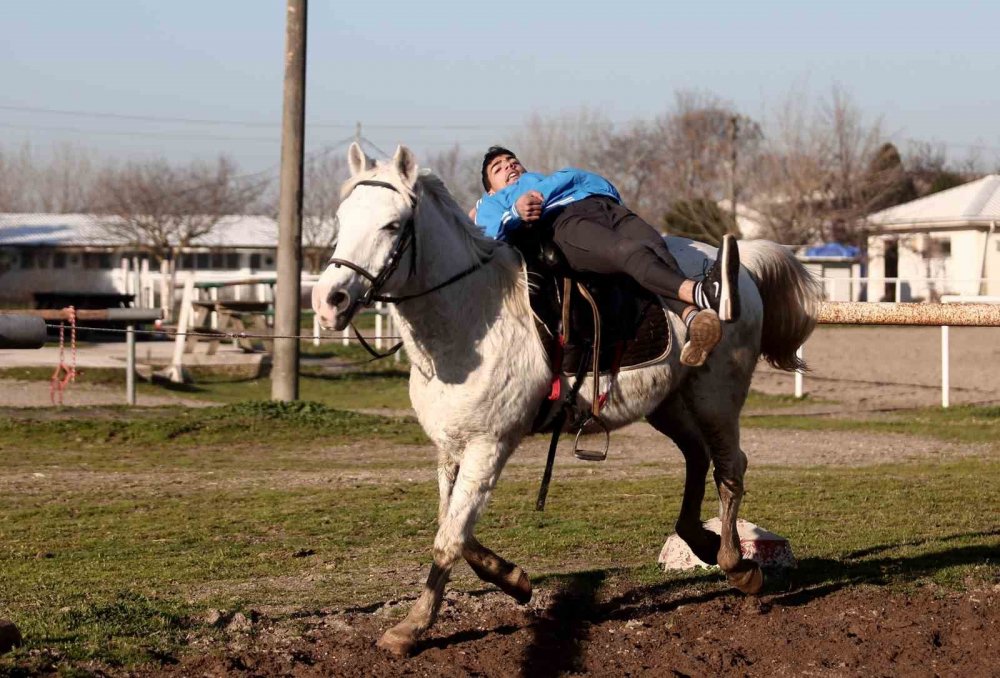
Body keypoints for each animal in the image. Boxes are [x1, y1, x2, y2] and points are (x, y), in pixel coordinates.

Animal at [312, 145, 820, 660]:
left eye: (392, 225)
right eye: (342, 218)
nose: (328, 301)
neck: (471, 316)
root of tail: (739, 268)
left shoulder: (488, 446)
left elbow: (449, 538)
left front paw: (412, 627)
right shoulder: (451, 449)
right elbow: (454, 528)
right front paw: (514, 580)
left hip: (716, 398)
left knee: (730, 468)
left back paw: (737, 564)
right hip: (669, 404)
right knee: (697, 458)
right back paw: (699, 538)